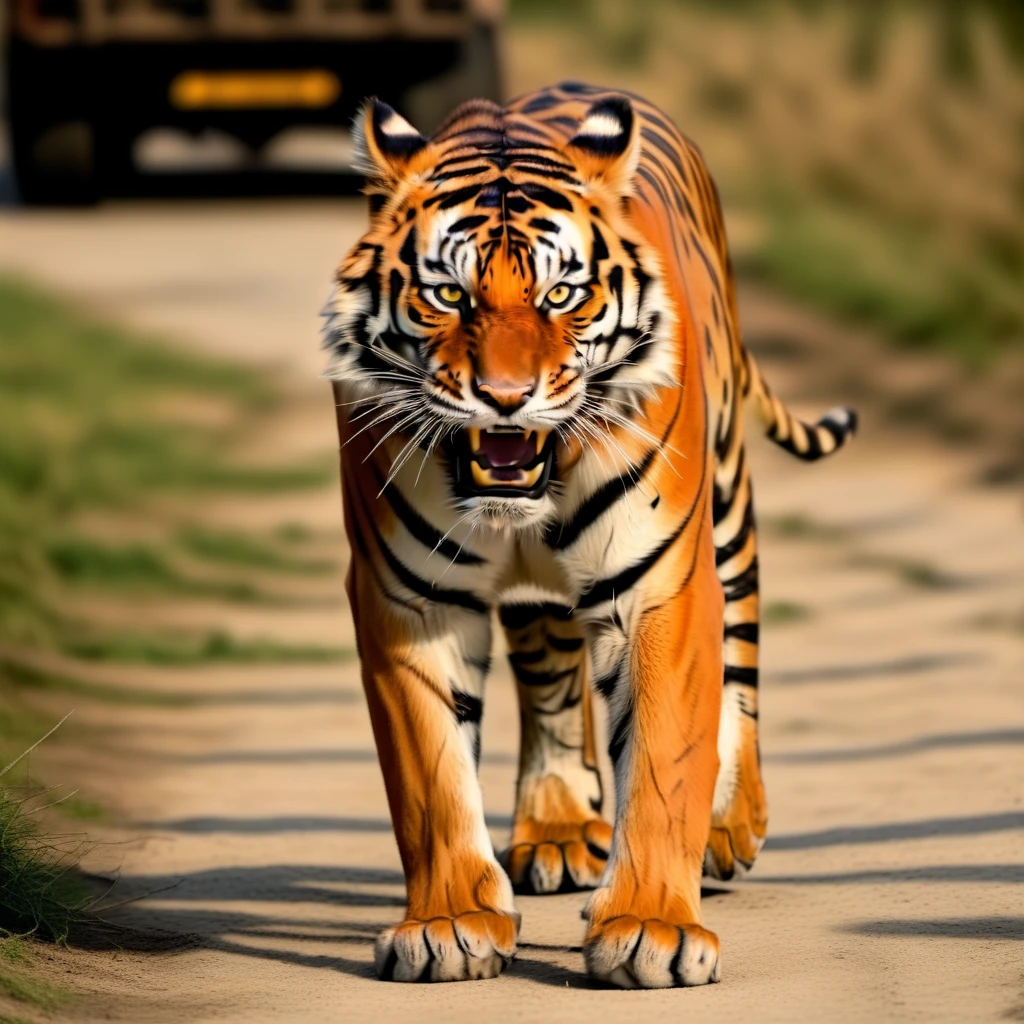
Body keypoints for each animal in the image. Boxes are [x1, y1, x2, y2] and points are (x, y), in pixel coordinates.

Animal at [323, 83, 851, 987]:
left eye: (561, 297)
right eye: (450, 296)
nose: (506, 397)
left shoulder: (657, 586)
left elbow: (666, 759)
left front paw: (651, 928)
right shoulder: (411, 597)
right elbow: (432, 775)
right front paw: (449, 922)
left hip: (728, 505)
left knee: (741, 655)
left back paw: (730, 825)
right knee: (552, 677)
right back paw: (561, 829)